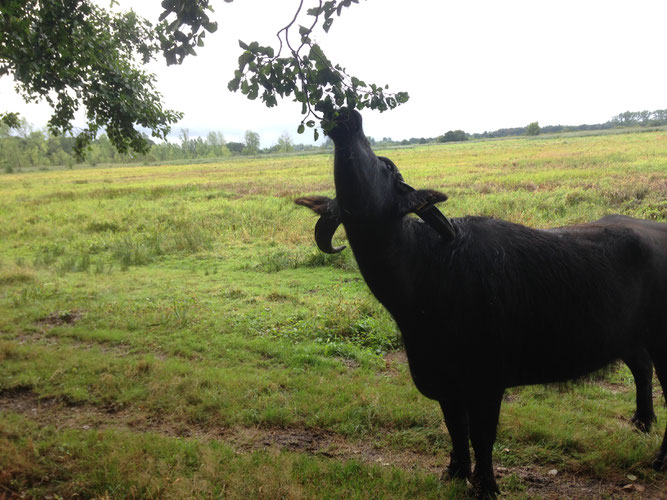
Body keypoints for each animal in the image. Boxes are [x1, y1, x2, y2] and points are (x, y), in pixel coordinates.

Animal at [298, 108, 667, 496]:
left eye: (387, 168)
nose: (348, 117)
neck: (425, 268)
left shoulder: (488, 383)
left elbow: (482, 436)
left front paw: (486, 484)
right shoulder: (445, 381)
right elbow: (456, 430)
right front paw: (456, 471)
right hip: (628, 336)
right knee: (642, 368)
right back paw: (643, 421)